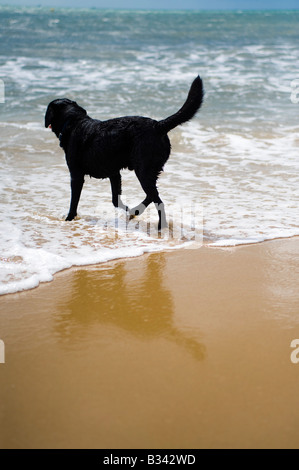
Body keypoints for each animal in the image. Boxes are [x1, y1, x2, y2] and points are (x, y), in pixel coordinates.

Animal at [44, 76, 204, 230]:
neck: (74, 122)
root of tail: (158, 125)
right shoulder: (114, 173)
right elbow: (115, 199)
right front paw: (128, 210)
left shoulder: (76, 175)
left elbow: (74, 202)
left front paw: (69, 219)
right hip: (148, 170)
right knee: (152, 194)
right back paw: (136, 211)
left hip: (143, 170)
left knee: (158, 200)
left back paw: (161, 226)